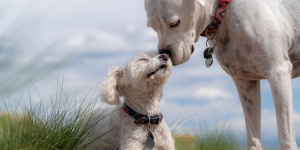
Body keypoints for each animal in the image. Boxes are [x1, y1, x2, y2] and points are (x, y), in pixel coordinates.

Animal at [144, 0, 300, 150]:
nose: (164, 53)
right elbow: (253, 137)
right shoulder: (245, 82)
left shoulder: (278, 73)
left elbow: (286, 138)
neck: (224, 11)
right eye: (152, 27)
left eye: (175, 23)